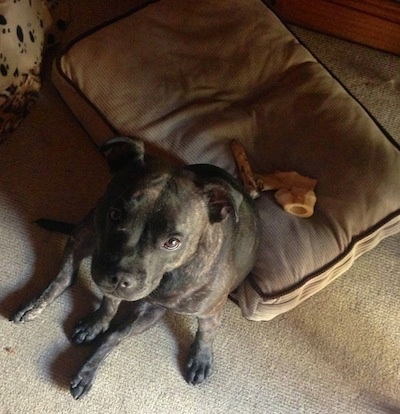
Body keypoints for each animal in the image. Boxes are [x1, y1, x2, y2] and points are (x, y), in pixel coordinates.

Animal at [11, 137, 260, 400]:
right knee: (65, 275)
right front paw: (96, 324)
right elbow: (108, 307)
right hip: (85, 231)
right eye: (115, 214)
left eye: (173, 242)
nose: (120, 278)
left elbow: (202, 333)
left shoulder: (176, 311)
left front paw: (200, 358)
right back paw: (34, 306)